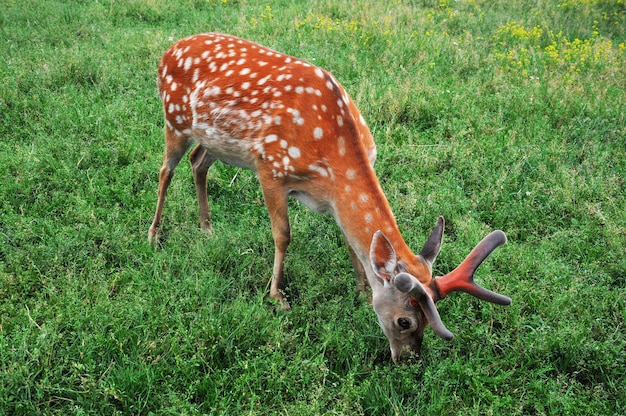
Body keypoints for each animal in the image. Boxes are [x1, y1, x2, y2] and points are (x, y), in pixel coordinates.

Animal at [149, 34, 510, 362]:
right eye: (404, 321)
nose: (408, 359)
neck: (333, 158)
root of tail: (169, 50)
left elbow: (351, 241)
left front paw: (362, 289)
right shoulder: (270, 167)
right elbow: (283, 235)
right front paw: (277, 297)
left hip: (214, 141)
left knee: (198, 162)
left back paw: (207, 229)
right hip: (174, 118)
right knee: (165, 171)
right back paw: (154, 235)